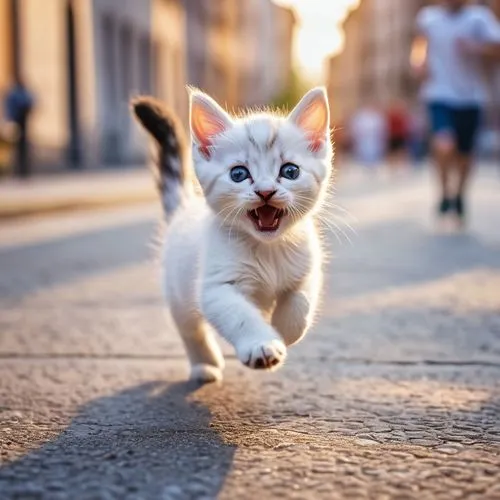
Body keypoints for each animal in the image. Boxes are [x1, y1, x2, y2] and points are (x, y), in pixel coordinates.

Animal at [133, 88, 332, 382]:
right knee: (190, 328)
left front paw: (283, 329)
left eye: (290, 171)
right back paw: (205, 365)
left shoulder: (306, 270)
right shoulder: (216, 287)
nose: (265, 191)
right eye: (239, 174)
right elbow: (240, 315)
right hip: (177, 289)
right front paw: (262, 344)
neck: (267, 248)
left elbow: (301, 302)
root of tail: (184, 206)